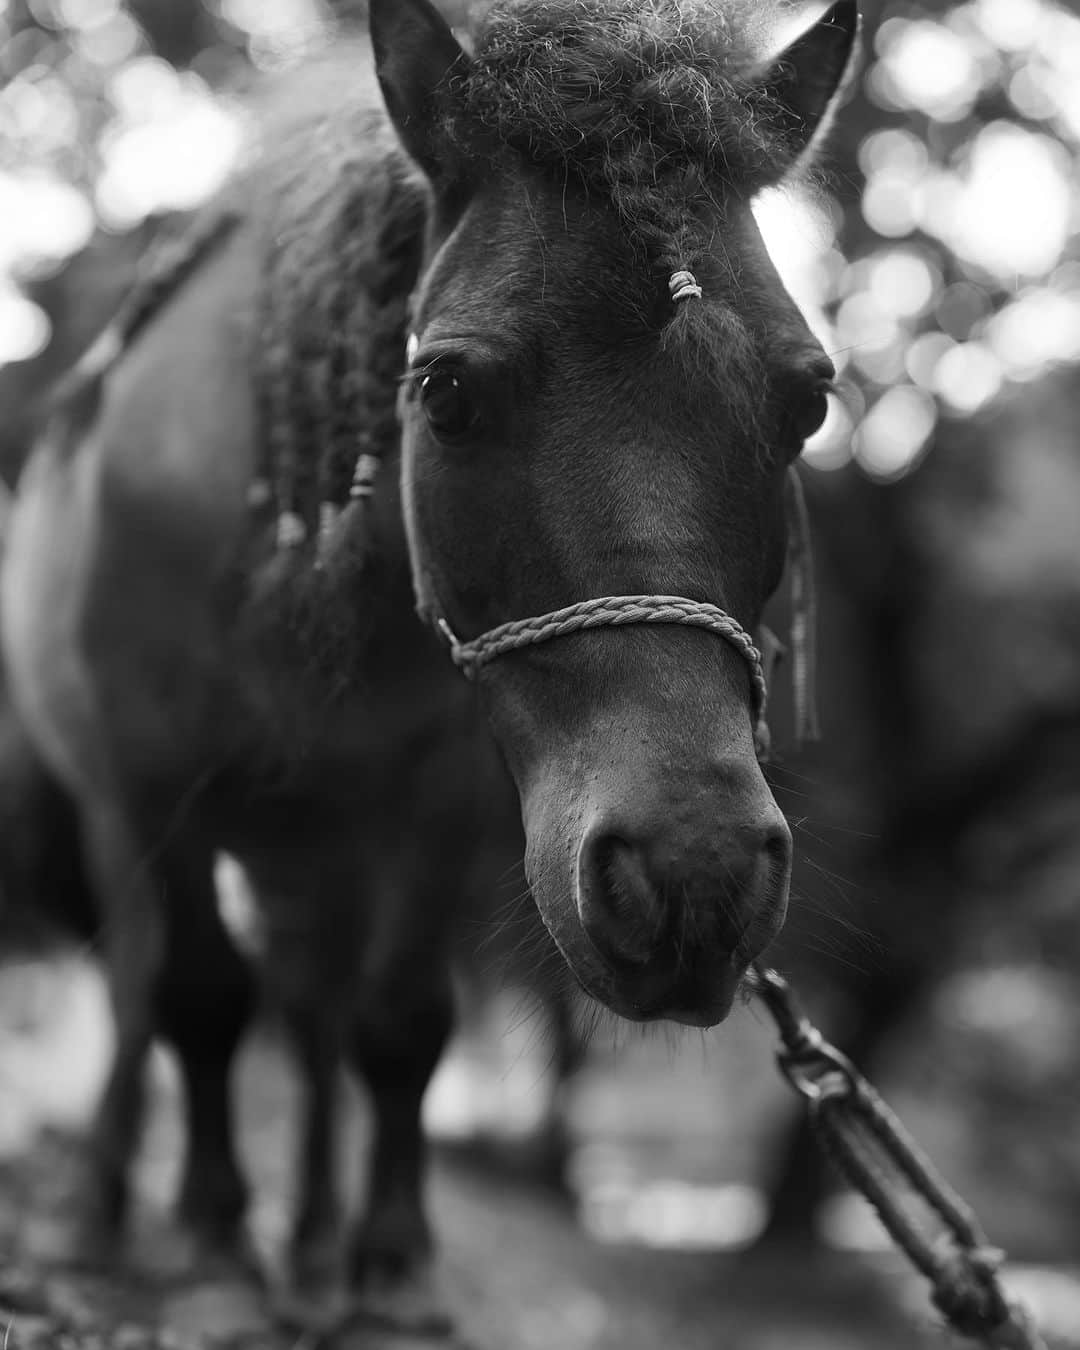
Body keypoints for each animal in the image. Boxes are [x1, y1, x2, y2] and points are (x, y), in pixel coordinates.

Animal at [2, 0, 858, 1328]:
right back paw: (112, 1210)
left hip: (318, 853)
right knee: (145, 993)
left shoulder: (440, 806)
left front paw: (390, 1267)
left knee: (309, 1012)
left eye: (808, 401)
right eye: (444, 390)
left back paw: (308, 1242)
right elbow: (197, 1000)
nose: (695, 877)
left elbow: (398, 1025)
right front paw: (212, 1245)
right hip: (119, 823)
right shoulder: (154, 784)